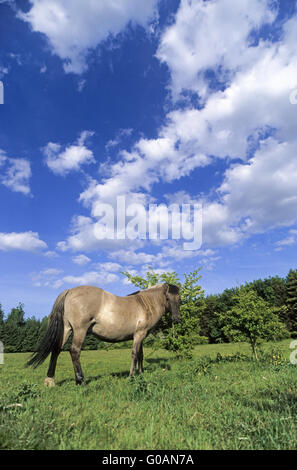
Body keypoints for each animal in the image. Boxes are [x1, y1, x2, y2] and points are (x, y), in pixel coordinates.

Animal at [26, 282, 180, 386]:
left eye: (179, 298)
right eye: (167, 298)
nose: (177, 319)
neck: (144, 304)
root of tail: (69, 291)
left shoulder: (140, 336)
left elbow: (140, 354)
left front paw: (140, 373)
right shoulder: (139, 335)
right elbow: (135, 354)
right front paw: (131, 376)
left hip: (67, 329)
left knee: (56, 350)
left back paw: (50, 380)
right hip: (80, 330)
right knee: (74, 351)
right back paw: (81, 381)